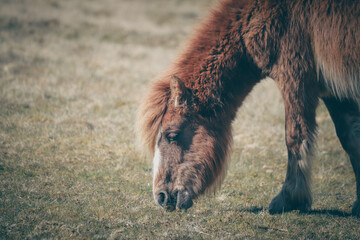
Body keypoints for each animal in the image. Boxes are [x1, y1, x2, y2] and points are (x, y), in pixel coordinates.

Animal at [136, 0, 360, 217]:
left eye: (172, 135)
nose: (161, 196)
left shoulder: (296, 79)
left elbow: (295, 137)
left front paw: (289, 199)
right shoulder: (334, 88)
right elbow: (350, 137)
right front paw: (358, 205)